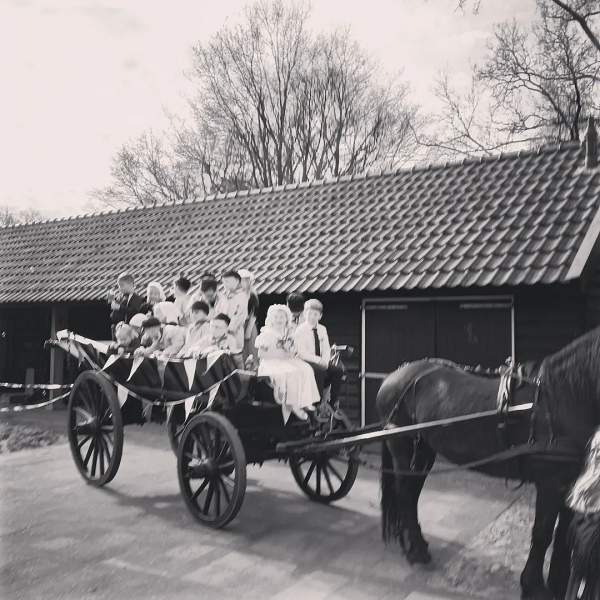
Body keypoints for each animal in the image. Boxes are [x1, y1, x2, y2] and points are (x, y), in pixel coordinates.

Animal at [376, 328, 600, 600]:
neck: (562, 398)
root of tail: (394, 375)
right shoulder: (550, 483)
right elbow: (543, 533)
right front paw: (533, 586)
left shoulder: (569, 483)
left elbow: (563, 537)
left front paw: (557, 585)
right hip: (401, 445)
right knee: (406, 494)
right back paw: (416, 550)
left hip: (423, 451)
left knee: (412, 493)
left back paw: (414, 542)